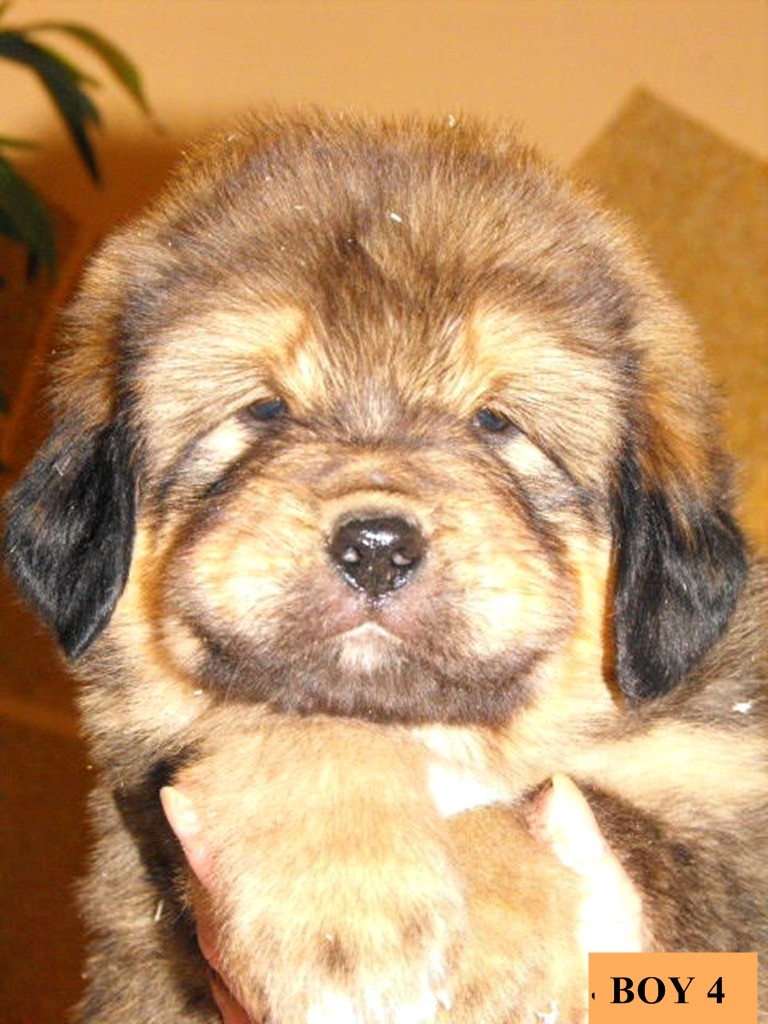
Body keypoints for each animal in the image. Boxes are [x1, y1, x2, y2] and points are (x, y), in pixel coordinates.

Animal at [4, 111, 766, 1023]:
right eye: (264, 409)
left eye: (495, 423)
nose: (375, 547)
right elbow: (301, 722)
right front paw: (348, 902)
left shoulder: (728, 820)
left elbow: (599, 817)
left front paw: (488, 951)